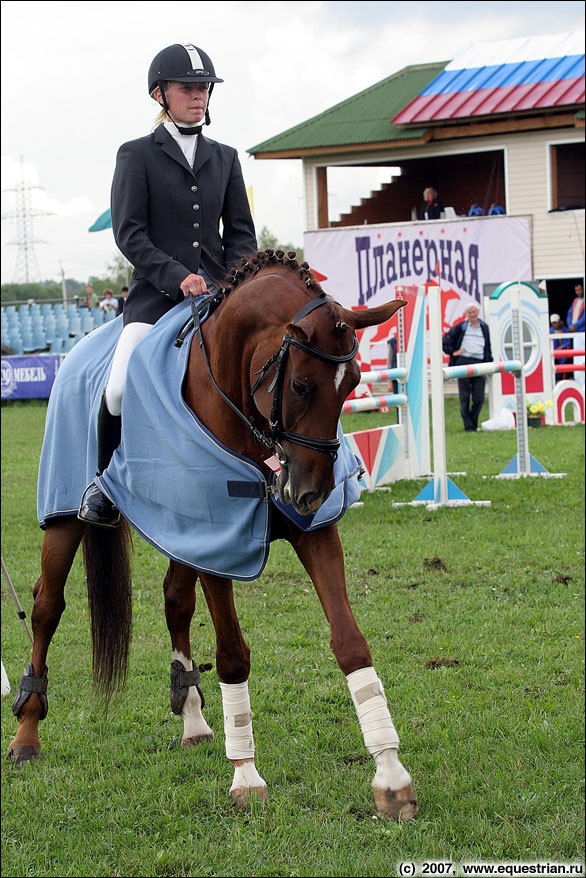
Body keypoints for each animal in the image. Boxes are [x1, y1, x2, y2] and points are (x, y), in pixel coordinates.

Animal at [8, 251, 416, 820]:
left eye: (353, 381)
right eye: (300, 386)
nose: (310, 495)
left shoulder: (293, 536)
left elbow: (351, 643)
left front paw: (391, 778)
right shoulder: (224, 537)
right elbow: (232, 655)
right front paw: (246, 777)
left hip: (185, 533)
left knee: (174, 602)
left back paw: (194, 718)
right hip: (67, 515)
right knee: (47, 606)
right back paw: (27, 735)